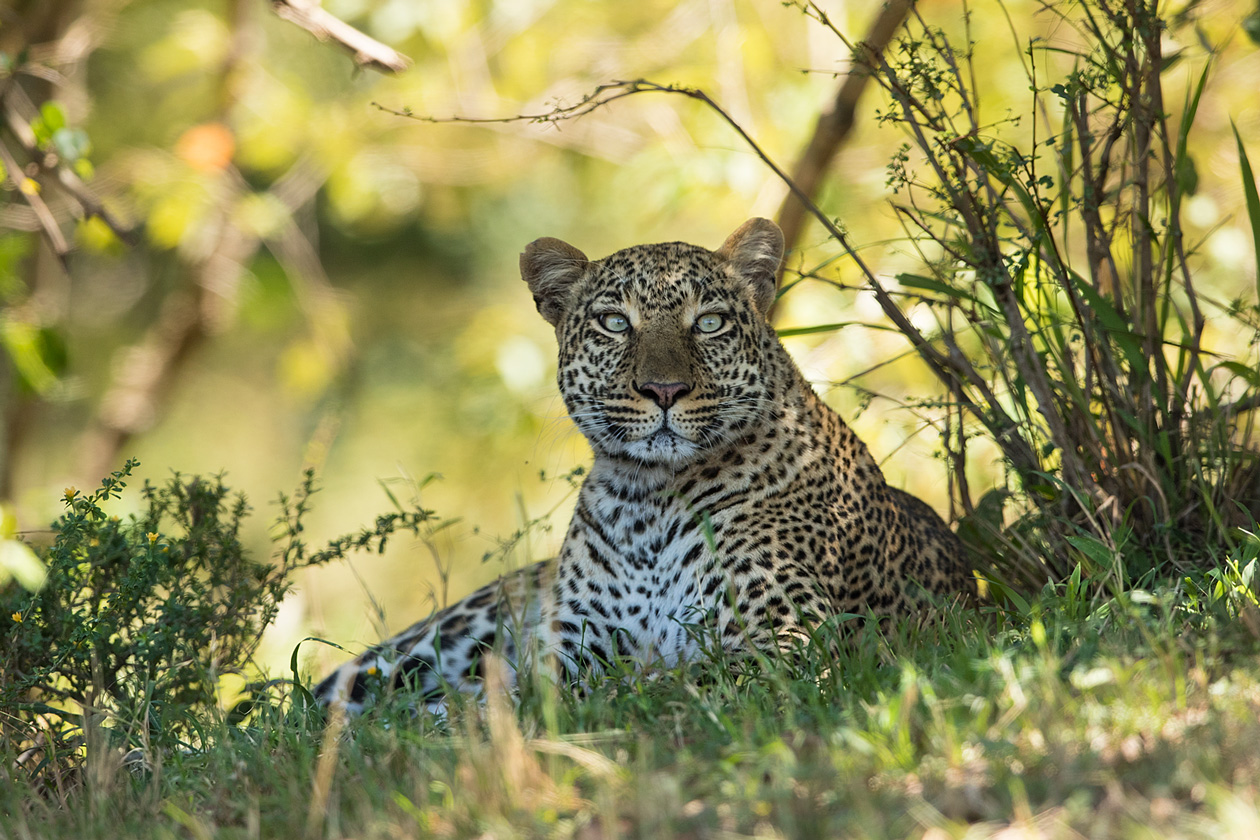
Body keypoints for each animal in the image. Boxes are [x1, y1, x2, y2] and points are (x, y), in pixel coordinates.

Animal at [312, 219, 972, 715]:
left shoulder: (784, 643)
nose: (663, 390)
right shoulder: (570, 644)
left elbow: (651, 686)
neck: (645, 503)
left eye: (709, 322)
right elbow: (544, 688)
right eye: (614, 323)